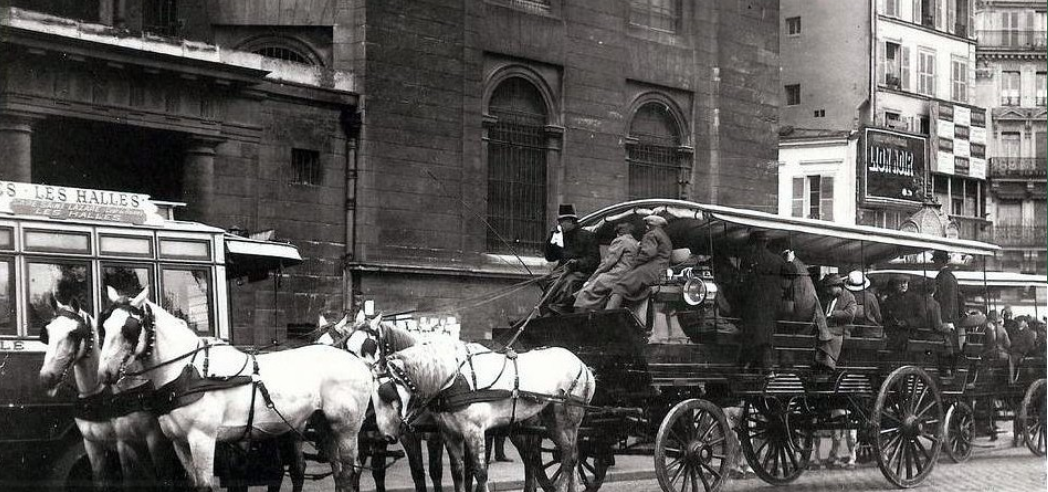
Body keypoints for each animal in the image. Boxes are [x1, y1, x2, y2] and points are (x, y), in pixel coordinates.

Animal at [37, 293, 179, 488]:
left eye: (73, 333)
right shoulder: (94, 445)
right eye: (47, 333)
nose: (46, 377)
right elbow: (102, 480)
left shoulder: (152, 440)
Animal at [95, 287, 373, 490]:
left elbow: (205, 486)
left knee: (348, 472)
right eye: (104, 326)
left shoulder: (203, 439)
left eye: (129, 329)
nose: (105, 373)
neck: (188, 370)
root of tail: (359, 363)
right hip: (324, 425)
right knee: (339, 473)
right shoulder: (180, 443)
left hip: (346, 428)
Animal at [373, 341, 595, 490]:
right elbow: (458, 472)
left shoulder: (474, 432)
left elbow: (480, 473)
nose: (387, 436)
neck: (455, 378)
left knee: (568, 458)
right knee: (564, 457)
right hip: (547, 422)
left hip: (566, 421)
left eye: (387, 394)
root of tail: (583, 366)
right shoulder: (449, 433)